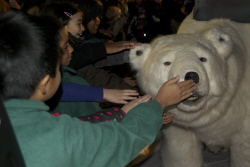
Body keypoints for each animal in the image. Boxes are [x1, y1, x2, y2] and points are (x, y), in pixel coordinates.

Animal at [130, 14, 250, 167]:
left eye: (203, 58)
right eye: (167, 62)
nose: (192, 76)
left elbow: (243, 150)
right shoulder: (177, 125)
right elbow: (183, 151)